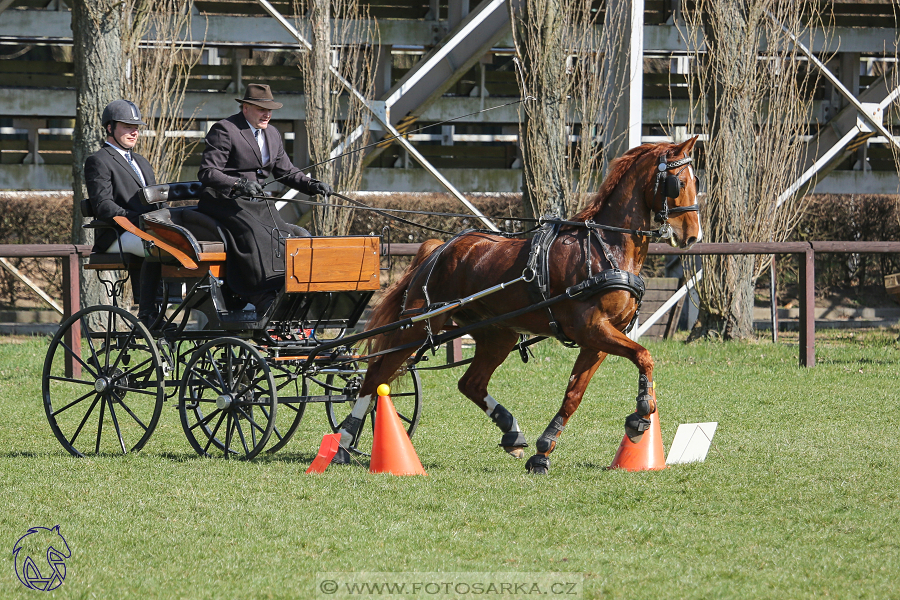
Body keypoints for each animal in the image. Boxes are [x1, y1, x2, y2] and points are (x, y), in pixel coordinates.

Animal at [334, 137, 700, 474]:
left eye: (697, 181)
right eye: (679, 183)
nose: (693, 236)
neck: (605, 247)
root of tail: (437, 249)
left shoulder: (597, 340)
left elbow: (575, 394)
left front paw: (543, 451)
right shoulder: (592, 328)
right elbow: (645, 356)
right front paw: (641, 414)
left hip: (497, 334)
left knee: (470, 383)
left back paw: (511, 432)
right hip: (416, 327)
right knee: (374, 376)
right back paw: (344, 443)